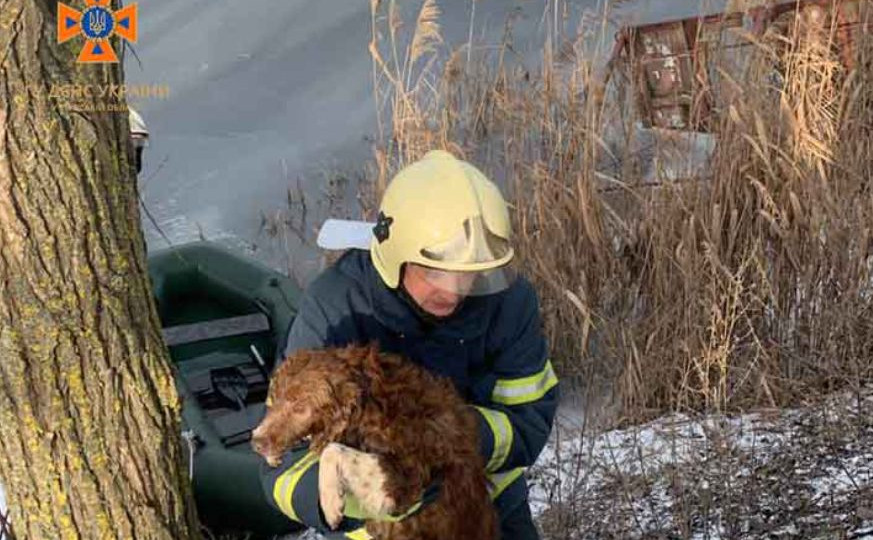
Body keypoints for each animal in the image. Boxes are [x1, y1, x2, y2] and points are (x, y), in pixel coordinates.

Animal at [250, 344, 498, 536]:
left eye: (300, 407)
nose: (256, 443)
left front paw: (330, 503)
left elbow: (332, 450)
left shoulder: (404, 478)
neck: (371, 403)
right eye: (274, 399)